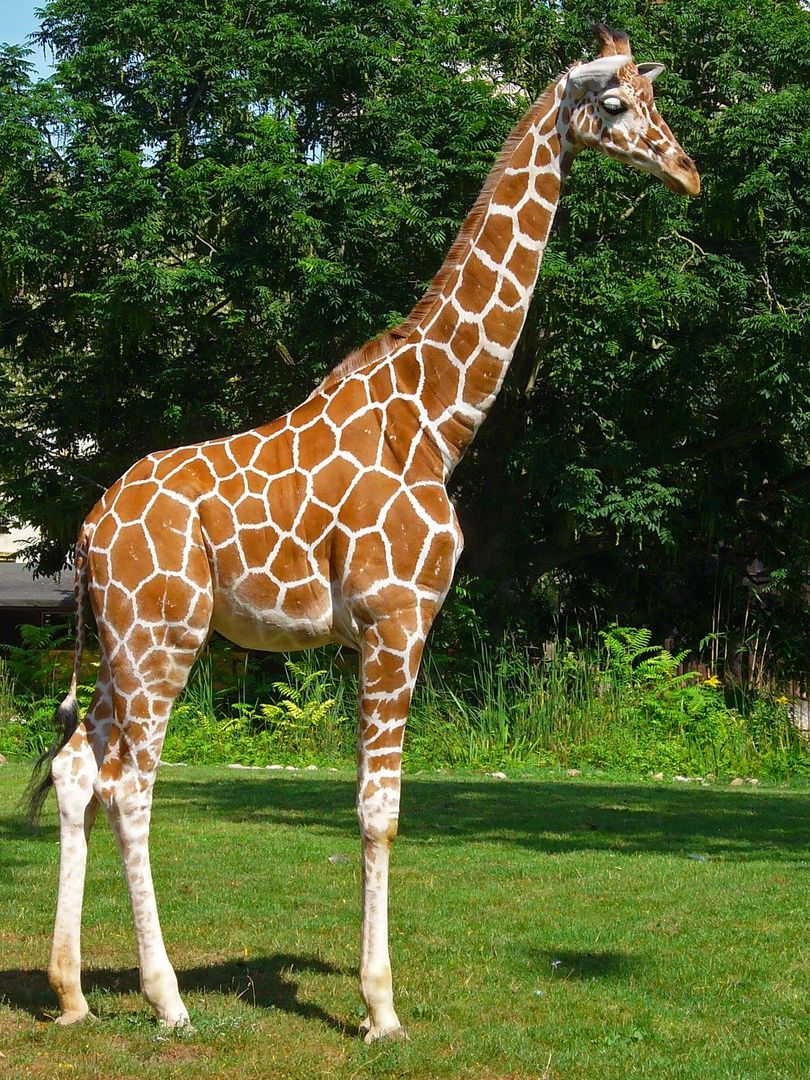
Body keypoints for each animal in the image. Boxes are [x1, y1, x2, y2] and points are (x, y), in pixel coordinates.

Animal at [28, 25, 699, 1041]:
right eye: (616, 104)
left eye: (654, 102)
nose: (688, 171)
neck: (439, 417)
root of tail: (90, 526)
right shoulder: (397, 618)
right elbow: (380, 810)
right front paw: (381, 1008)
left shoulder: (368, 633)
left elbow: (370, 804)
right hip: (163, 638)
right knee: (129, 787)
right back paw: (168, 999)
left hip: (119, 642)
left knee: (75, 769)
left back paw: (71, 995)